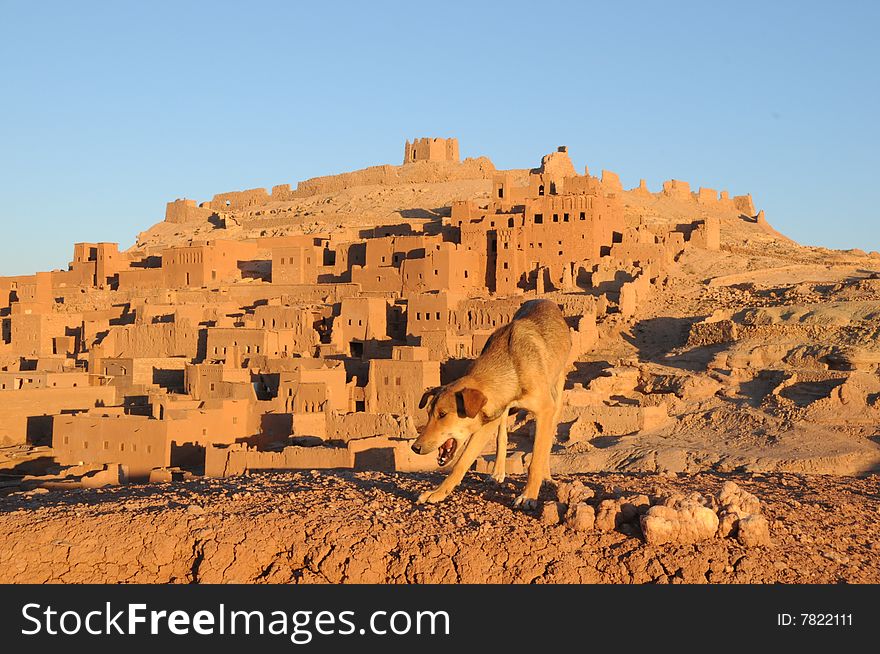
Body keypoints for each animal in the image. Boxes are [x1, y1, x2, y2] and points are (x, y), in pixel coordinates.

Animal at [410, 300, 572, 510]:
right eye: (429, 413)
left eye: (443, 414)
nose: (415, 448)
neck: (511, 366)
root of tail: (546, 301)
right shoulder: (489, 415)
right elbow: (462, 462)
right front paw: (437, 493)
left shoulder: (545, 409)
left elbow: (536, 459)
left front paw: (528, 496)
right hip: (501, 414)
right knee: (502, 437)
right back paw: (497, 473)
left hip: (557, 395)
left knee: (548, 438)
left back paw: (546, 477)